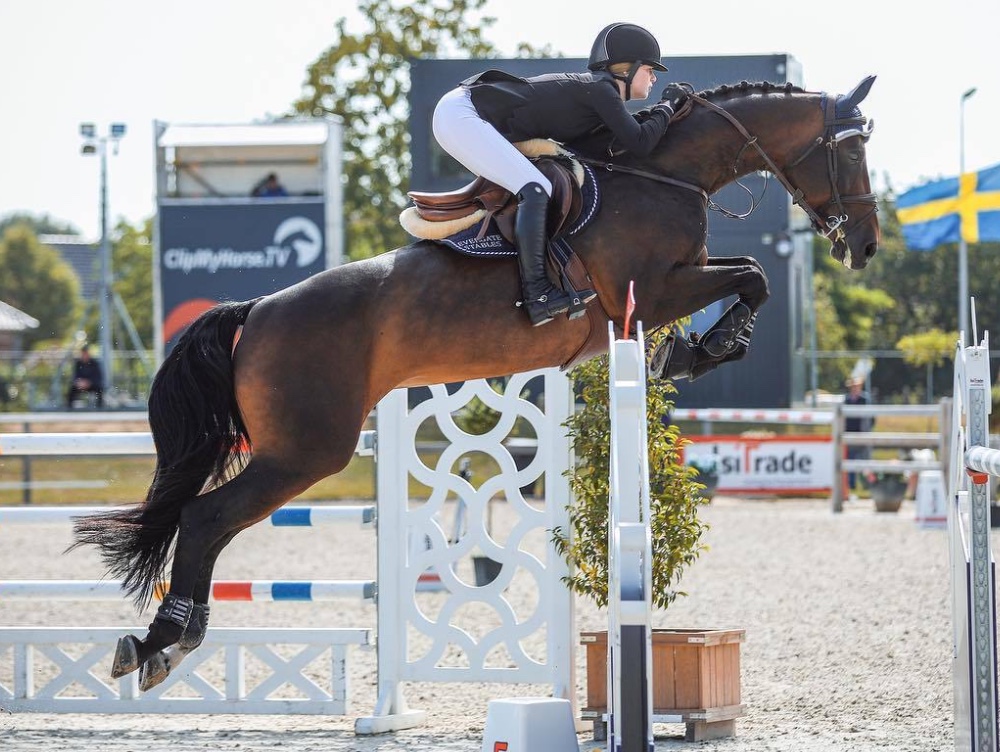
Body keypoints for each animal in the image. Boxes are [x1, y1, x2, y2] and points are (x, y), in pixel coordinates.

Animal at [72, 76, 880, 690]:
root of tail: (257, 311)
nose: (866, 247)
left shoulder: (657, 294)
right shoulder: (650, 288)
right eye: (852, 152)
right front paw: (713, 344)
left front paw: (691, 351)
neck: (663, 172)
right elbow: (755, 274)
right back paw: (161, 642)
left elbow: (748, 276)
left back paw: (163, 643)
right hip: (305, 452)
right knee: (206, 518)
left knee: (204, 521)